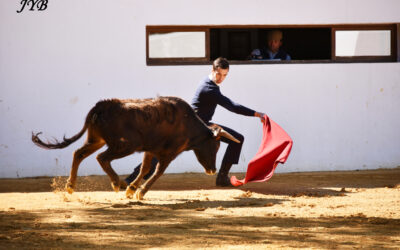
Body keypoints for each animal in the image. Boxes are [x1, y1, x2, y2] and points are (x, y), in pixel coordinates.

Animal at [32, 95, 238, 199]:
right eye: (215, 146)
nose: (212, 170)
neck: (188, 123)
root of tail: (102, 106)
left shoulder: (150, 150)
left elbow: (145, 168)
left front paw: (132, 189)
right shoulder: (168, 153)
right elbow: (157, 172)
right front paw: (139, 191)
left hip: (96, 140)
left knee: (79, 153)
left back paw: (70, 185)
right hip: (125, 146)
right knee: (102, 158)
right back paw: (117, 183)